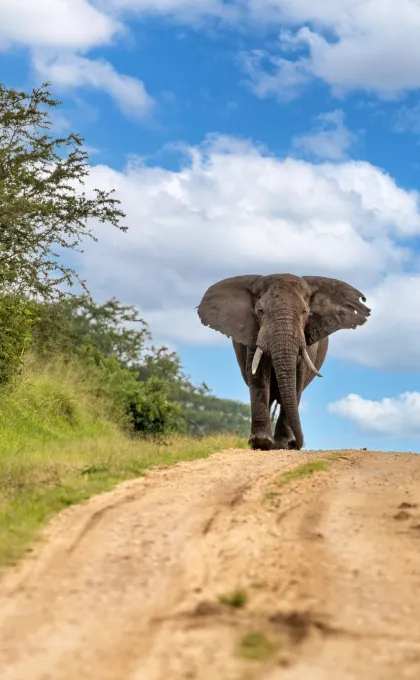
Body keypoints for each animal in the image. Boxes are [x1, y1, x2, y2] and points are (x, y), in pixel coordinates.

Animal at [195, 270, 370, 452]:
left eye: (304, 312)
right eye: (260, 311)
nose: (295, 444)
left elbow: (297, 380)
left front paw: (282, 445)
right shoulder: (253, 333)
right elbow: (258, 376)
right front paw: (261, 442)